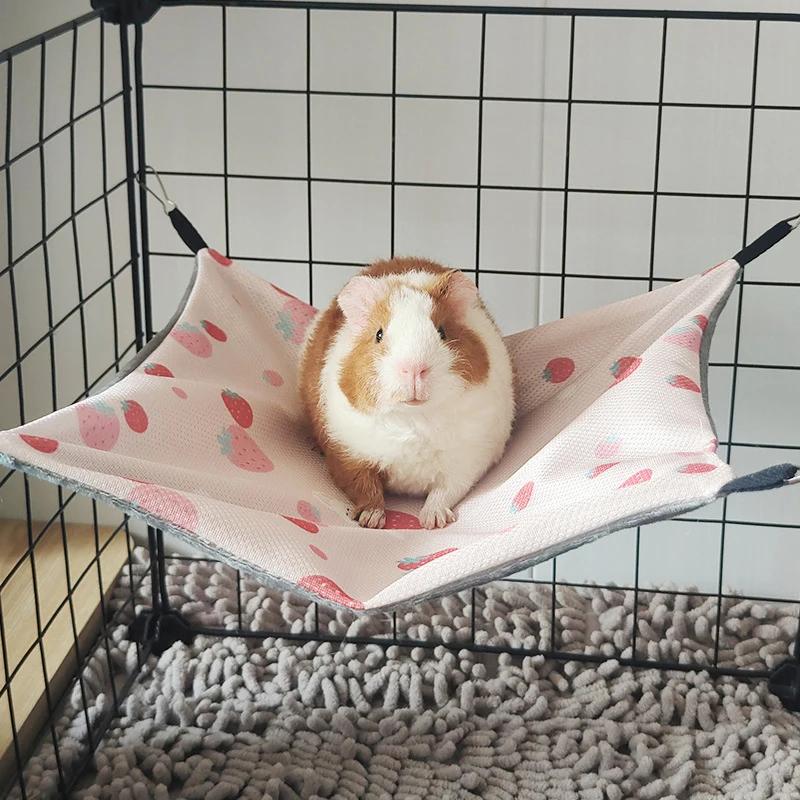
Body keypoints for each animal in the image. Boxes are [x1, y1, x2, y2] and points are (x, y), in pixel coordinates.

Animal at [299, 257, 514, 529]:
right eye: (378, 334)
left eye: (442, 331)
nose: (413, 369)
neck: (414, 418)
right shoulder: (348, 454)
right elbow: (365, 488)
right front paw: (370, 521)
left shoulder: (467, 462)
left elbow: (444, 491)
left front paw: (433, 521)